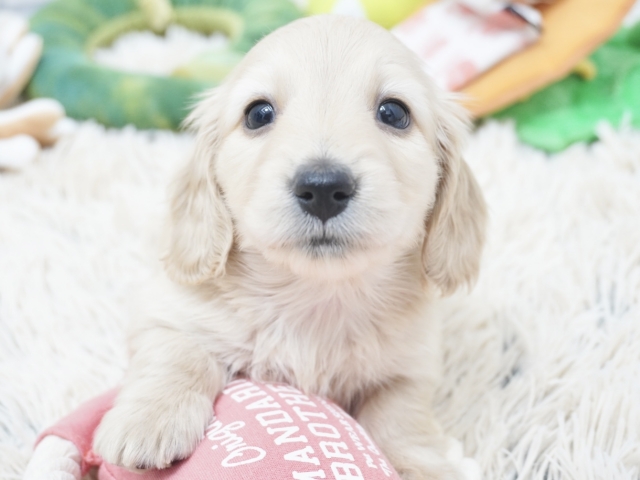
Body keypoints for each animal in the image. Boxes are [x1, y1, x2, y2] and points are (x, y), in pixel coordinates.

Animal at [93, 14, 486, 480]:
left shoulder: (412, 365)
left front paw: (422, 464)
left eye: (394, 112)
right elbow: (178, 351)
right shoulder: (167, 310)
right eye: (258, 113)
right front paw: (148, 421)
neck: (316, 296)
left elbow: (401, 415)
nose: (323, 188)